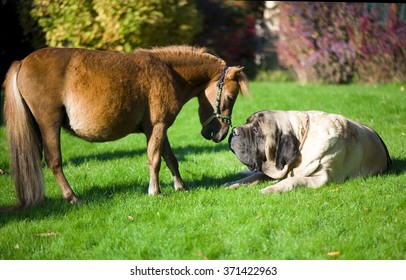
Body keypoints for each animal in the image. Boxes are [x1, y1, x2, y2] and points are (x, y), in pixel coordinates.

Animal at [3, 44, 247, 209]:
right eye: (230, 97)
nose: (220, 134)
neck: (168, 71)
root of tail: (22, 62)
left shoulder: (156, 128)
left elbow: (170, 158)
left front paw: (181, 186)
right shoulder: (158, 127)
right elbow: (155, 159)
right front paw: (155, 191)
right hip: (49, 124)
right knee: (54, 161)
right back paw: (71, 197)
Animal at [227, 110, 392, 194]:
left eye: (255, 130)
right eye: (247, 122)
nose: (234, 131)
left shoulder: (321, 177)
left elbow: (294, 180)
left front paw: (271, 189)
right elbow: (254, 176)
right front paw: (233, 184)